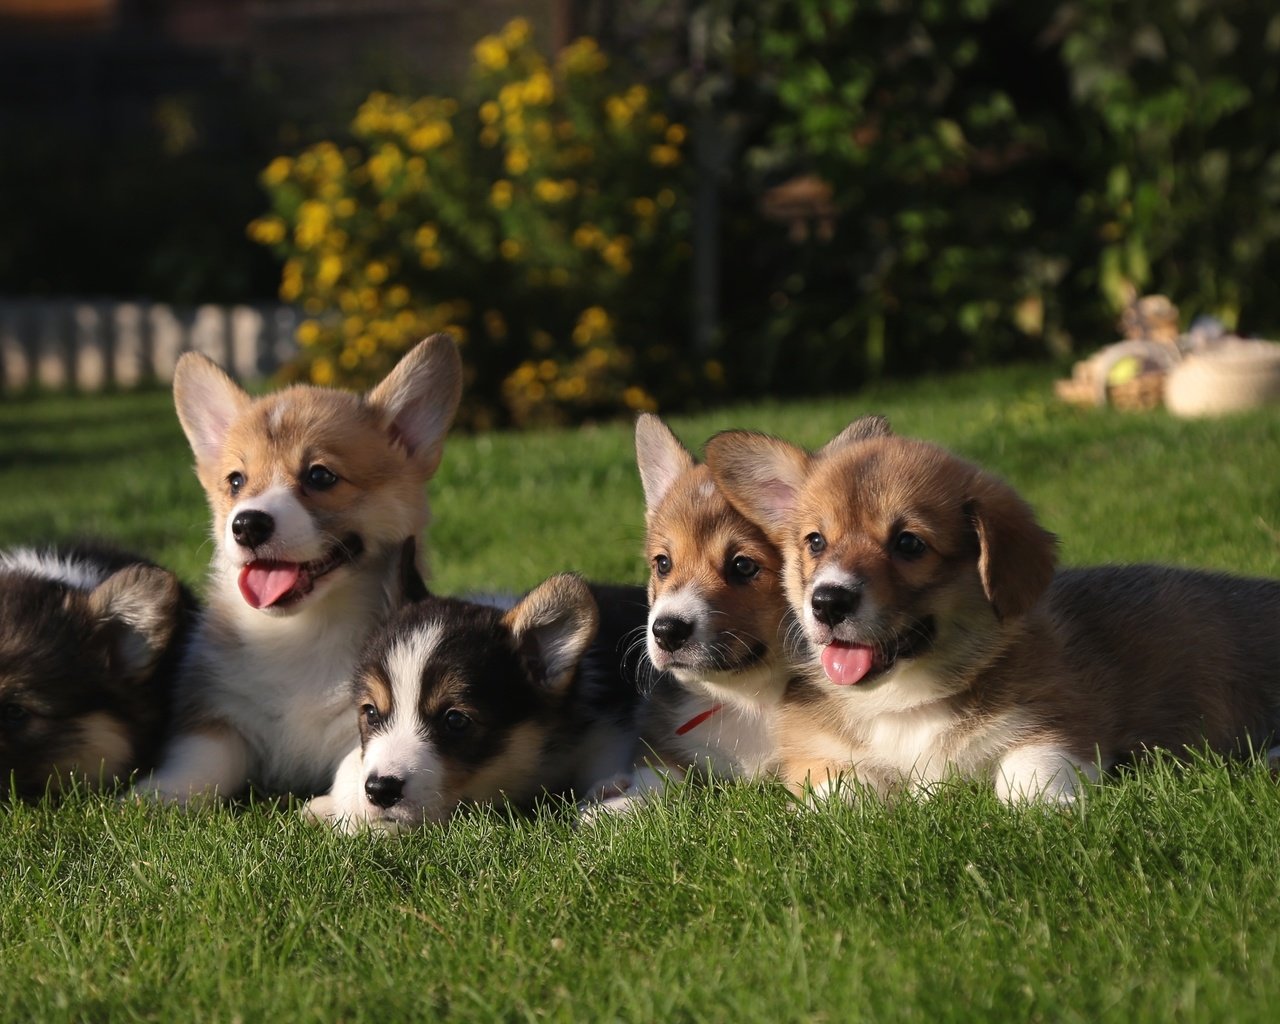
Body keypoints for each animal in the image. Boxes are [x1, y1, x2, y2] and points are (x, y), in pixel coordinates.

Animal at [135, 332, 463, 798]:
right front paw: (152, 795)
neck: (299, 633)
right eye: (236, 481)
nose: (247, 525)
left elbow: (356, 767)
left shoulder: (366, 721)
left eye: (320, 476)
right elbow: (200, 758)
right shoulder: (221, 712)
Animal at [706, 419, 1280, 803]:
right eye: (815, 541)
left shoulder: (1059, 723)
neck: (906, 703)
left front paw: (1041, 812)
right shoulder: (816, 756)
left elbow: (1027, 778)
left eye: (909, 544)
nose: (827, 601)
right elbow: (848, 795)